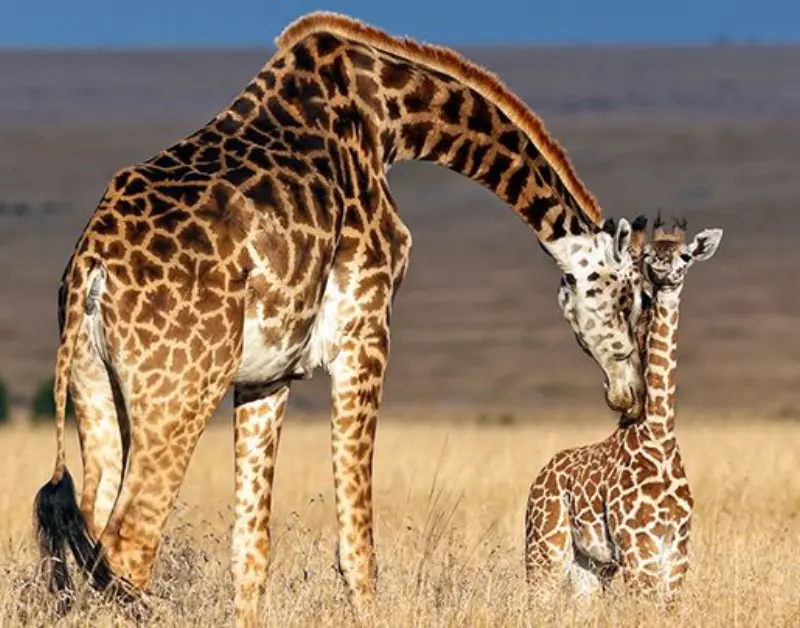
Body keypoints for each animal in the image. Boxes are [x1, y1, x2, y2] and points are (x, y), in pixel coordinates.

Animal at [33, 11, 648, 626]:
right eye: (634, 298)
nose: (631, 394)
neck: (390, 118)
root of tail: (91, 264)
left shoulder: (266, 376)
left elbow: (250, 550)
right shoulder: (365, 331)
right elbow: (357, 547)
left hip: (95, 387)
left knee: (94, 525)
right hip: (179, 391)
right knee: (129, 542)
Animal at [523, 215, 723, 610]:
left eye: (686, 255)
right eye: (647, 256)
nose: (663, 268)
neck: (658, 436)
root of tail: (542, 474)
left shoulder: (677, 551)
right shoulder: (637, 547)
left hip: (590, 563)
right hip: (545, 545)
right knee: (534, 601)